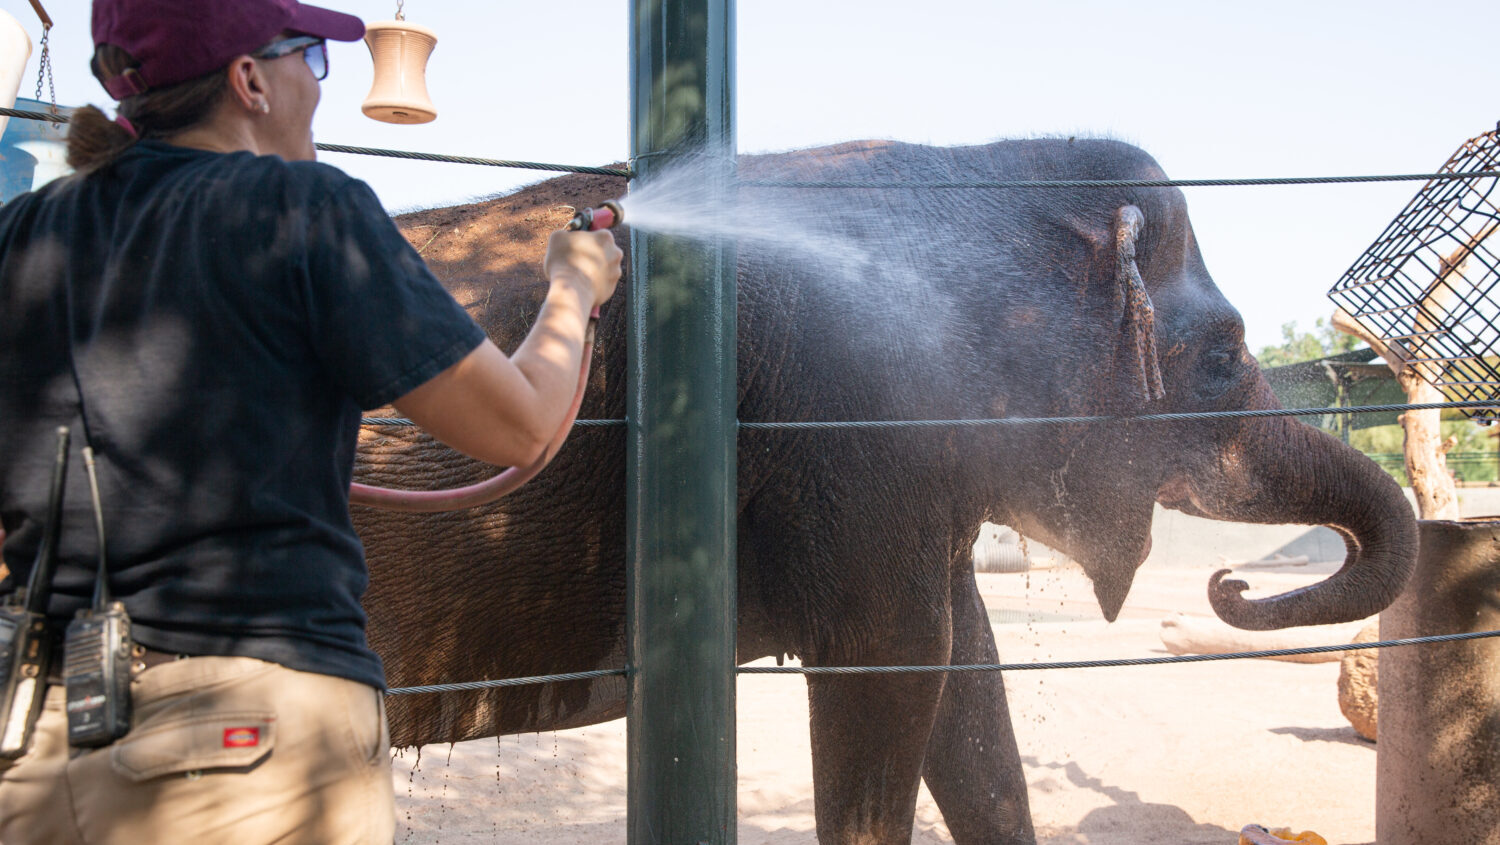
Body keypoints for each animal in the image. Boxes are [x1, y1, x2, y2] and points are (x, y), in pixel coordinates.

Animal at [352, 138, 1418, 844]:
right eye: (1224, 355)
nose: (1229, 582)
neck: (973, 172)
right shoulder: (857, 418)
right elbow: (896, 666)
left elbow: (969, 684)